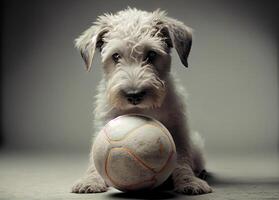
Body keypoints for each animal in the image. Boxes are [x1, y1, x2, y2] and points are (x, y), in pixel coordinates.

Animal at [71, 8, 212, 195]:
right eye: (116, 56)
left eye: (151, 54)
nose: (134, 95)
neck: (143, 109)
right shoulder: (104, 125)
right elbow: (94, 161)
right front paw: (90, 180)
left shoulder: (178, 130)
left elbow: (182, 160)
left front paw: (189, 181)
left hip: (195, 143)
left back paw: (200, 173)